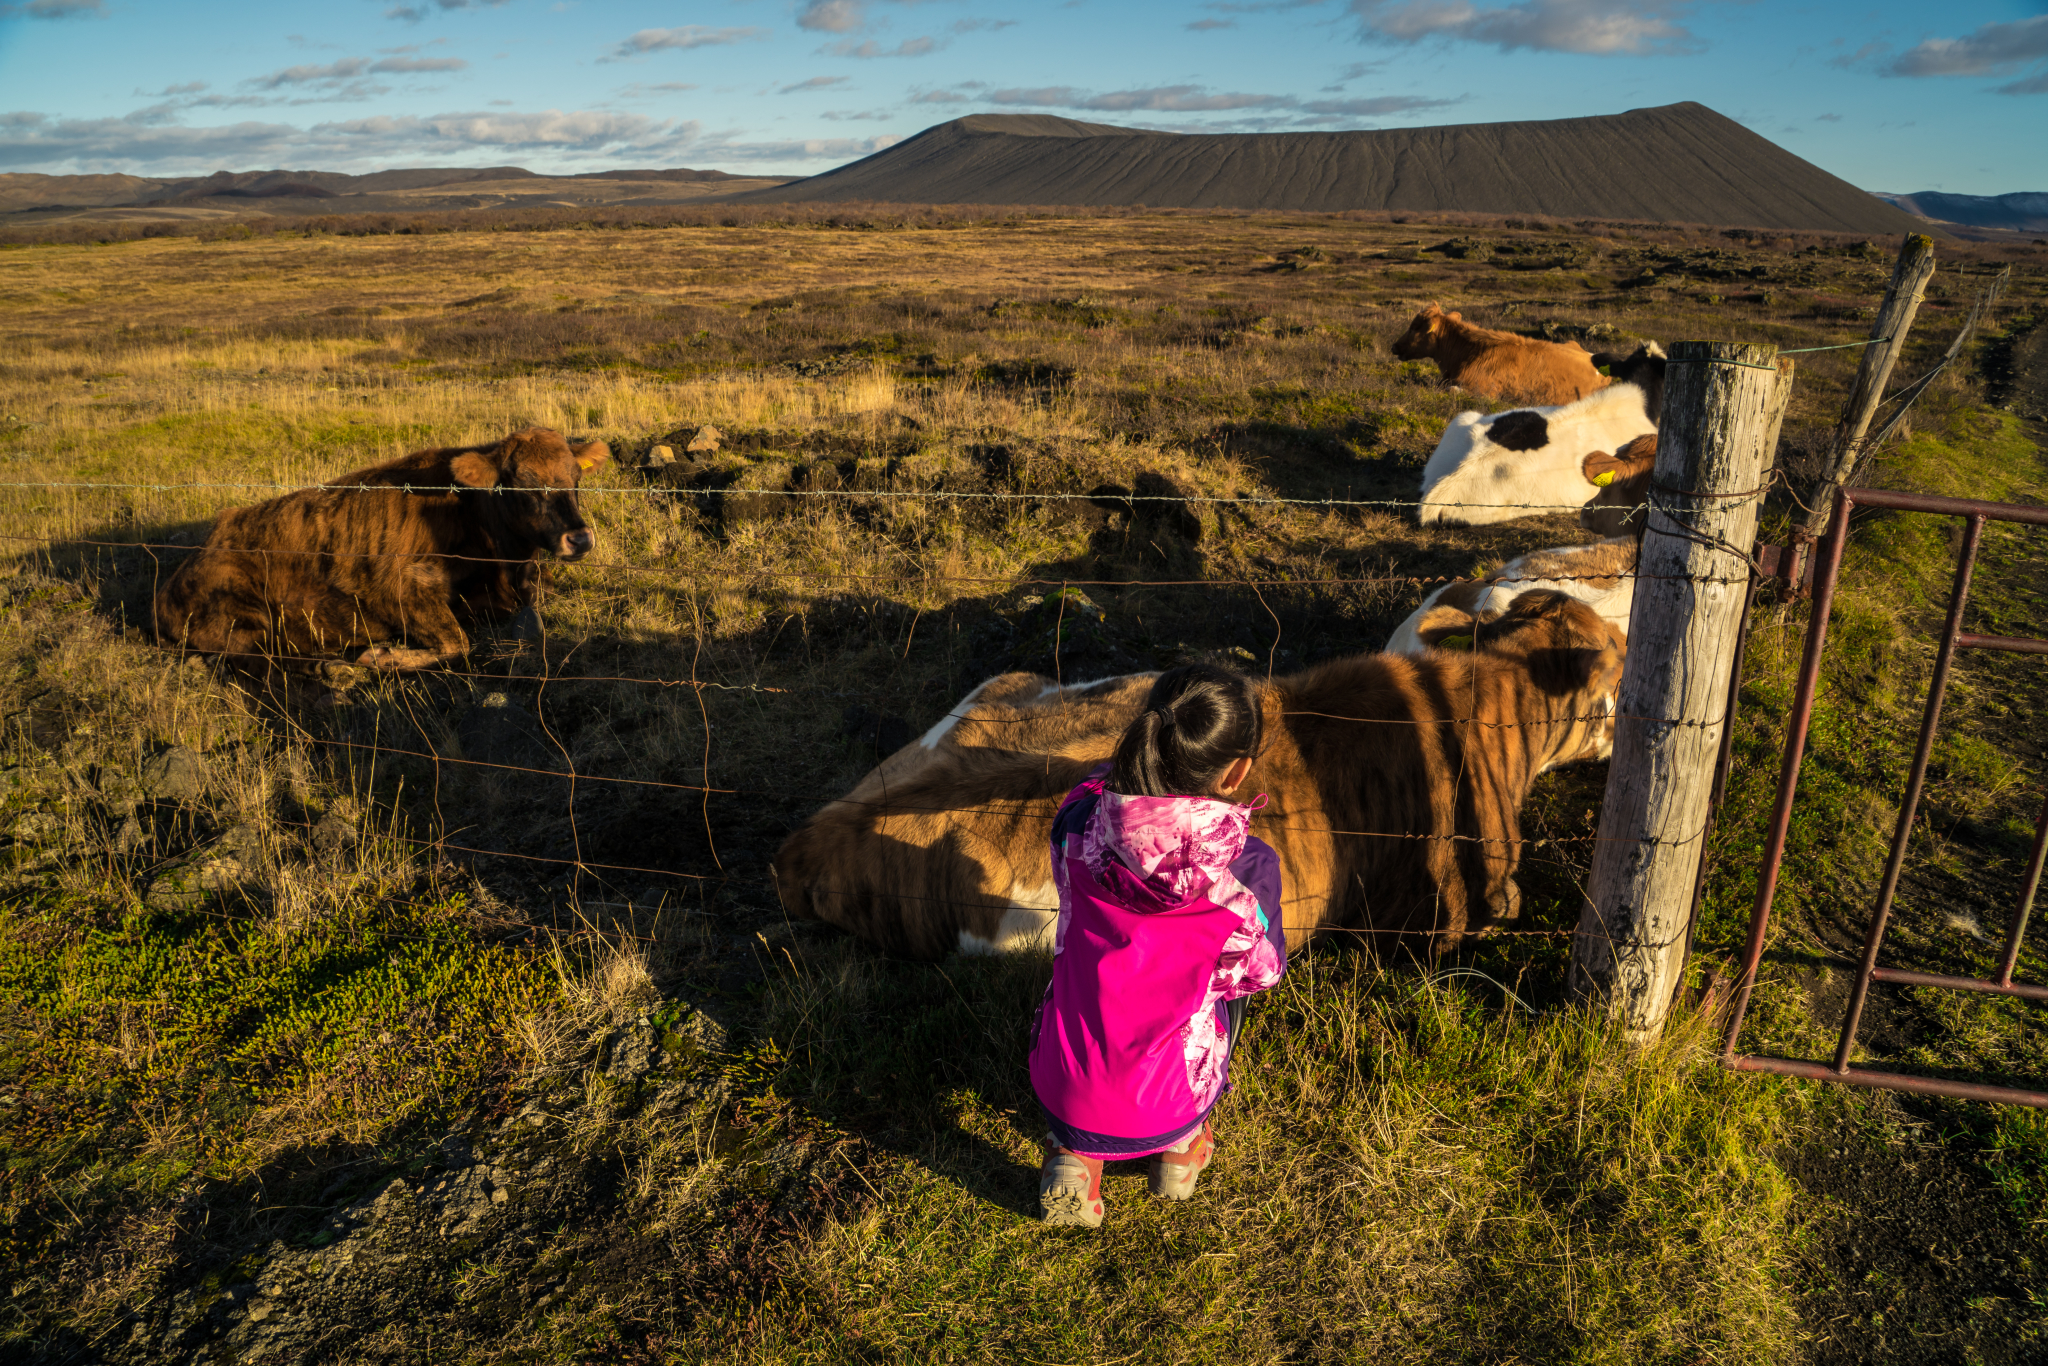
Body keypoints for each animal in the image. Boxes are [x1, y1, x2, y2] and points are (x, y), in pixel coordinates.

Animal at [152, 421, 606, 667]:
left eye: (575, 478)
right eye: (522, 484)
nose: (579, 538)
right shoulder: (400, 590)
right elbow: (457, 644)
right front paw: (383, 657)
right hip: (248, 620)